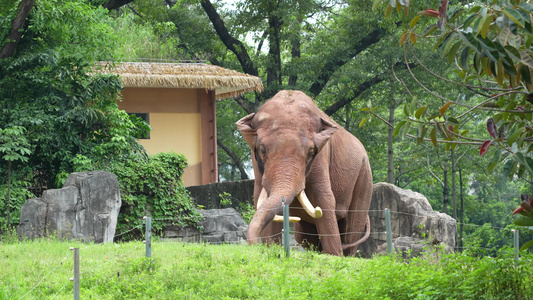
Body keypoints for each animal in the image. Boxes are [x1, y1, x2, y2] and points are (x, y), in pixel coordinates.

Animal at [235, 89, 372, 255]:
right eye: (262, 150)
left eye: (311, 153)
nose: (257, 247)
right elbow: (259, 199)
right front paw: (271, 248)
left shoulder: (321, 158)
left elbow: (324, 200)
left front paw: (334, 255)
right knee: (305, 237)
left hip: (364, 178)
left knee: (351, 232)